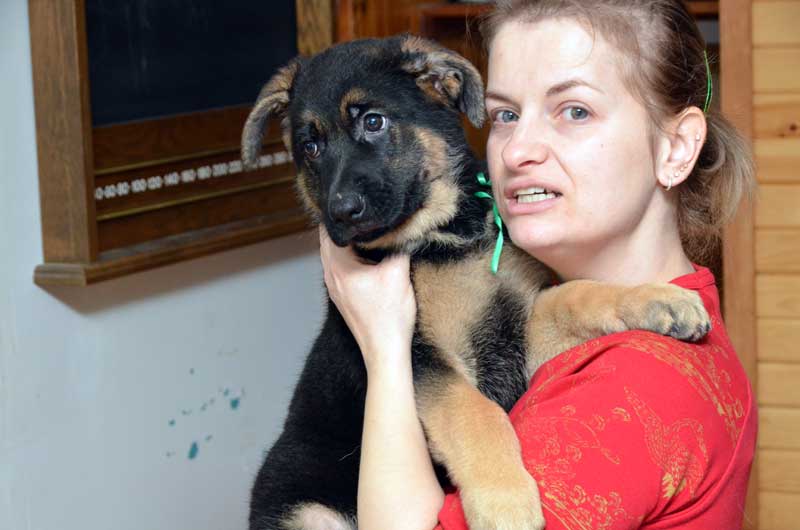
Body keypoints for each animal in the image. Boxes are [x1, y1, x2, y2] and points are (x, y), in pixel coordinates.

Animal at [241, 35, 708, 524]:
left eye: (373, 121)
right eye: (310, 147)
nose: (342, 212)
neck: (447, 239)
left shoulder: (519, 335)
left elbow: (575, 295)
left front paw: (657, 299)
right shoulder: (423, 356)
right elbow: (473, 411)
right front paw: (506, 501)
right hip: (306, 508)